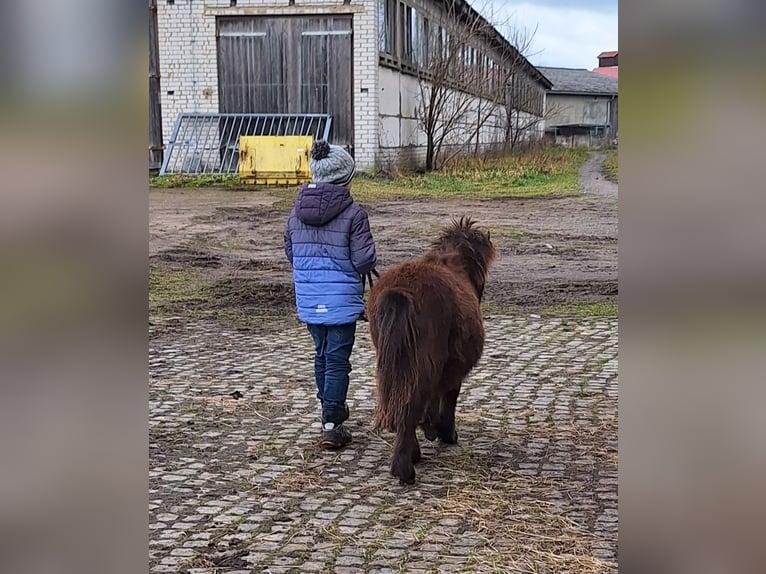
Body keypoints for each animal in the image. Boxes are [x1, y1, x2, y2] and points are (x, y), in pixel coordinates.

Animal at [370, 218, 498, 484]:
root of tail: (400, 292)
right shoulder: (452, 370)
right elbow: (448, 396)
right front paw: (444, 432)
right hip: (425, 365)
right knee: (410, 406)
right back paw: (405, 469)